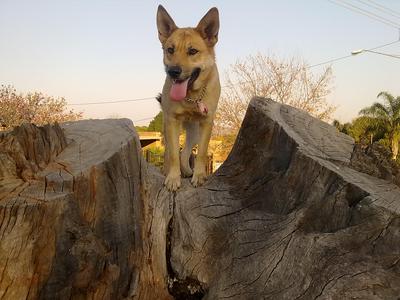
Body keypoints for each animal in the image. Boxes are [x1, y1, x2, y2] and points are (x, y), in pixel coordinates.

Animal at [156, 4, 220, 191]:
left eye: (192, 51)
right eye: (170, 50)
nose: (173, 72)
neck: (192, 97)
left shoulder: (206, 122)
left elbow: (201, 153)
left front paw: (198, 175)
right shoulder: (172, 121)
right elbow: (173, 154)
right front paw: (172, 178)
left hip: (194, 132)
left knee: (185, 152)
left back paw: (186, 170)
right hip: (169, 127)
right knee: (171, 152)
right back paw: (170, 171)